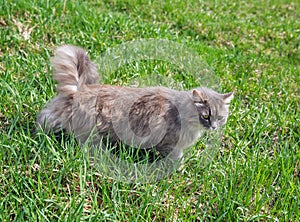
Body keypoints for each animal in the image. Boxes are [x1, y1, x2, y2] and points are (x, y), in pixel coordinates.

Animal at [37, 45, 234, 162]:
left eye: (220, 117)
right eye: (206, 116)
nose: (214, 127)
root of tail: (80, 89)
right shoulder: (169, 143)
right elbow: (176, 158)